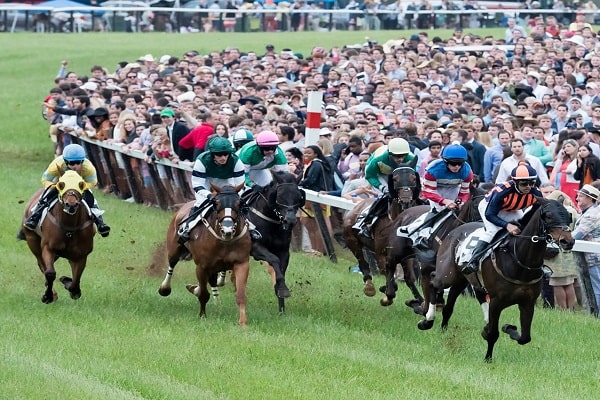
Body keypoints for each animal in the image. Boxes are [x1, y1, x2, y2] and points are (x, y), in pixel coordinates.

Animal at [18, 169, 96, 304]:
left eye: (80, 184)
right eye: (61, 184)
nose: (71, 205)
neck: (69, 227)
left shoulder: (81, 255)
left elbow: (76, 279)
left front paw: (69, 284)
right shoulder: (48, 248)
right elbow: (50, 273)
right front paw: (48, 296)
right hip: (32, 240)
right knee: (42, 265)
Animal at [157, 183, 251, 326]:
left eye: (239, 203)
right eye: (216, 203)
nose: (227, 229)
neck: (224, 240)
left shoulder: (241, 263)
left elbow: (240, 295)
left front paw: (243, 322)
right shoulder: (202, 266)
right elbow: (203, 294)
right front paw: (202, 316)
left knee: (211, 281)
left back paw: (215, 301)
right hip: (174, 249)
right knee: (171, 265)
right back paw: (165, 288)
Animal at [245, 171, 308, 312]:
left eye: (298, 196)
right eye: (279, 196)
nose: (290, 220)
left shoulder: (284, 251)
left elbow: (281, 270)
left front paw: (281, 305)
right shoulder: (256, 247)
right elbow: (274, 259)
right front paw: (282, 289)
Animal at [342, 167, 422, 308]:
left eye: (413, 178)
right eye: (395, 179)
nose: (406, 200)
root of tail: (355, 208)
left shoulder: (406, 256)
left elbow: (409, 278)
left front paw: (419, 301)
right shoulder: (381, 254)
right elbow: (391, 284)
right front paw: (386, 295)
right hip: (353, 242)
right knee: (363, 263)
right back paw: (369, 287)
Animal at [420, 198, 576, 360]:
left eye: (569, 216)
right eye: (548, 215)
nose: (568, 241)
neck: (520, 261)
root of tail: (455, 230)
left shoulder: (527, 302)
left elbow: (525, 338)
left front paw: (507, 327)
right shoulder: (496, 302)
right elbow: (493, 334)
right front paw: (488, 358)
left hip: (464, 279)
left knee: (454, 304)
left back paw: (444, 328)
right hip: (448, 274)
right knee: (433, 281)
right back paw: (427, 319)